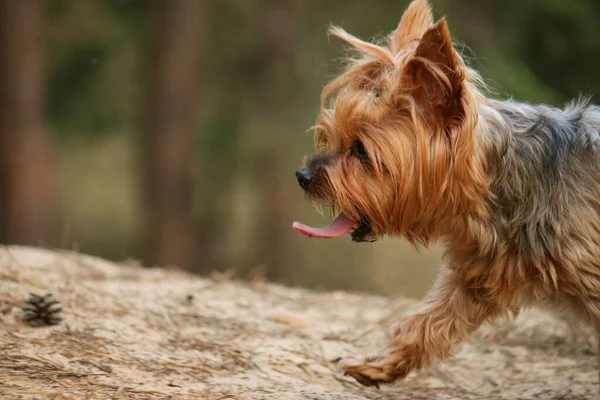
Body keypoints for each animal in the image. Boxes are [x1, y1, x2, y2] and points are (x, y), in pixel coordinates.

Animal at [292, 0, 600, 388]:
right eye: (330, 136)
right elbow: (427, 323)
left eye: (361, 150)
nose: (302, 176)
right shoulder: (477, 278)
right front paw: (378, 364)